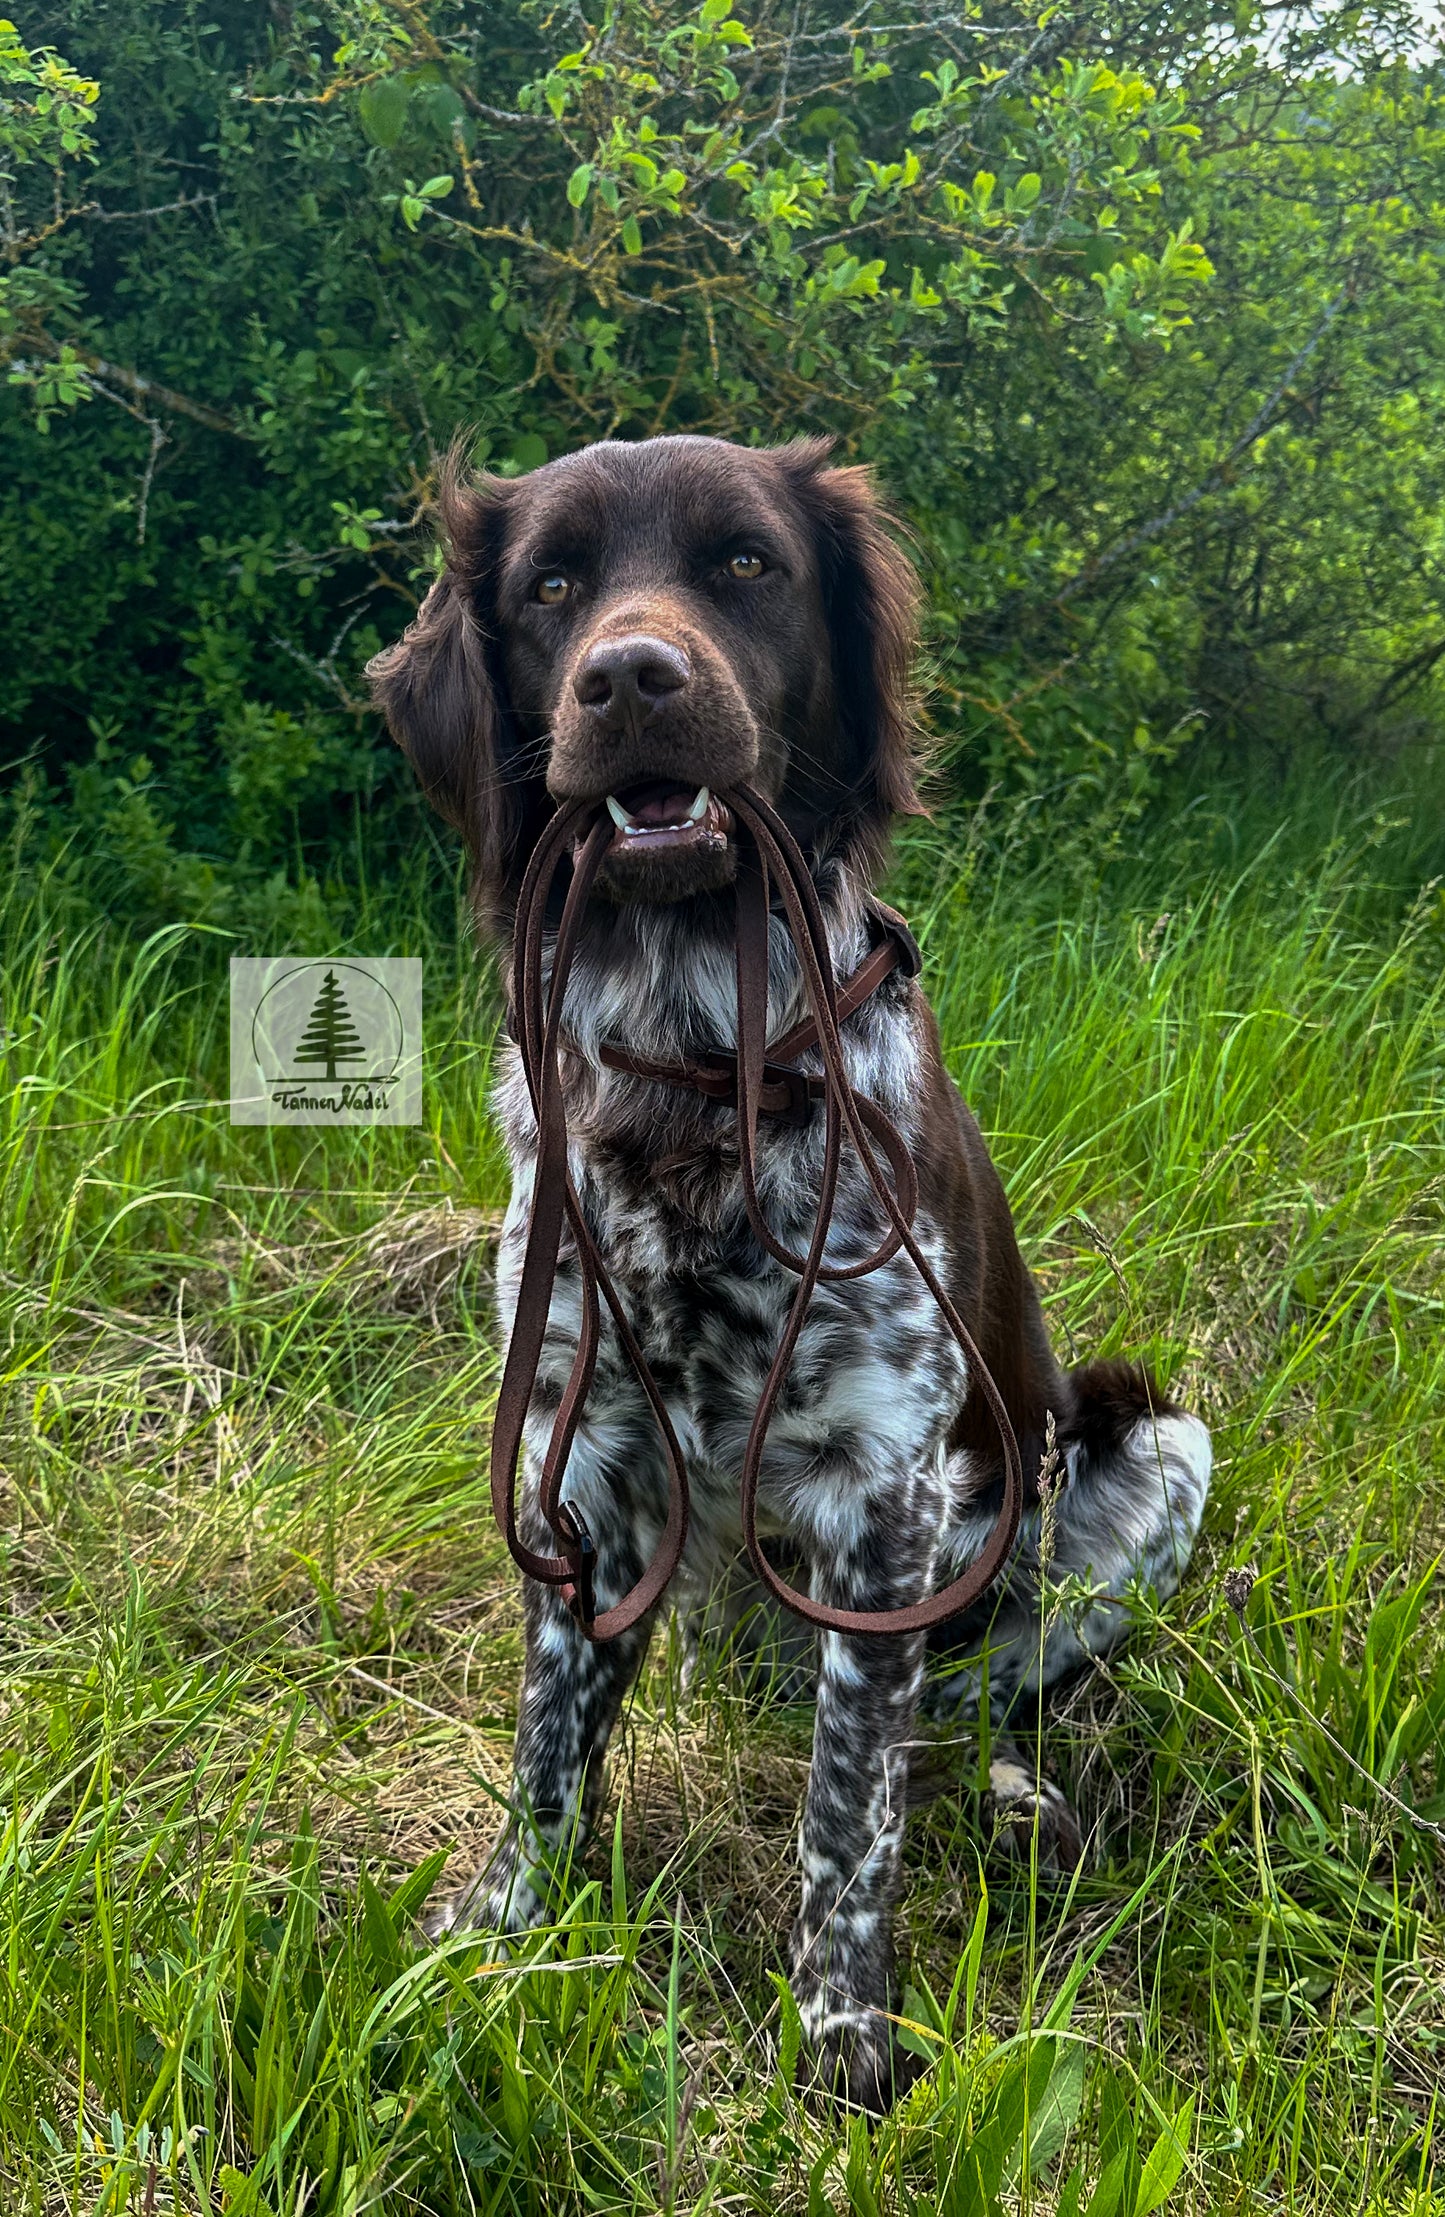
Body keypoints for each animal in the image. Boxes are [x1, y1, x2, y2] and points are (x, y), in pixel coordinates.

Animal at [363, 432, 1205, 2110]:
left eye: (745, 562)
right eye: (550, 585)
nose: (629, 677)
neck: (697, 1072)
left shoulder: (887, 1496)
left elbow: (847, 1811)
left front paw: (839, 2036)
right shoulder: (584, 1461)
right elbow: (547, 1749)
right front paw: (493, 1942)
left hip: (1147, 1444)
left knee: (991, 1692)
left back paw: (1017, 1797)